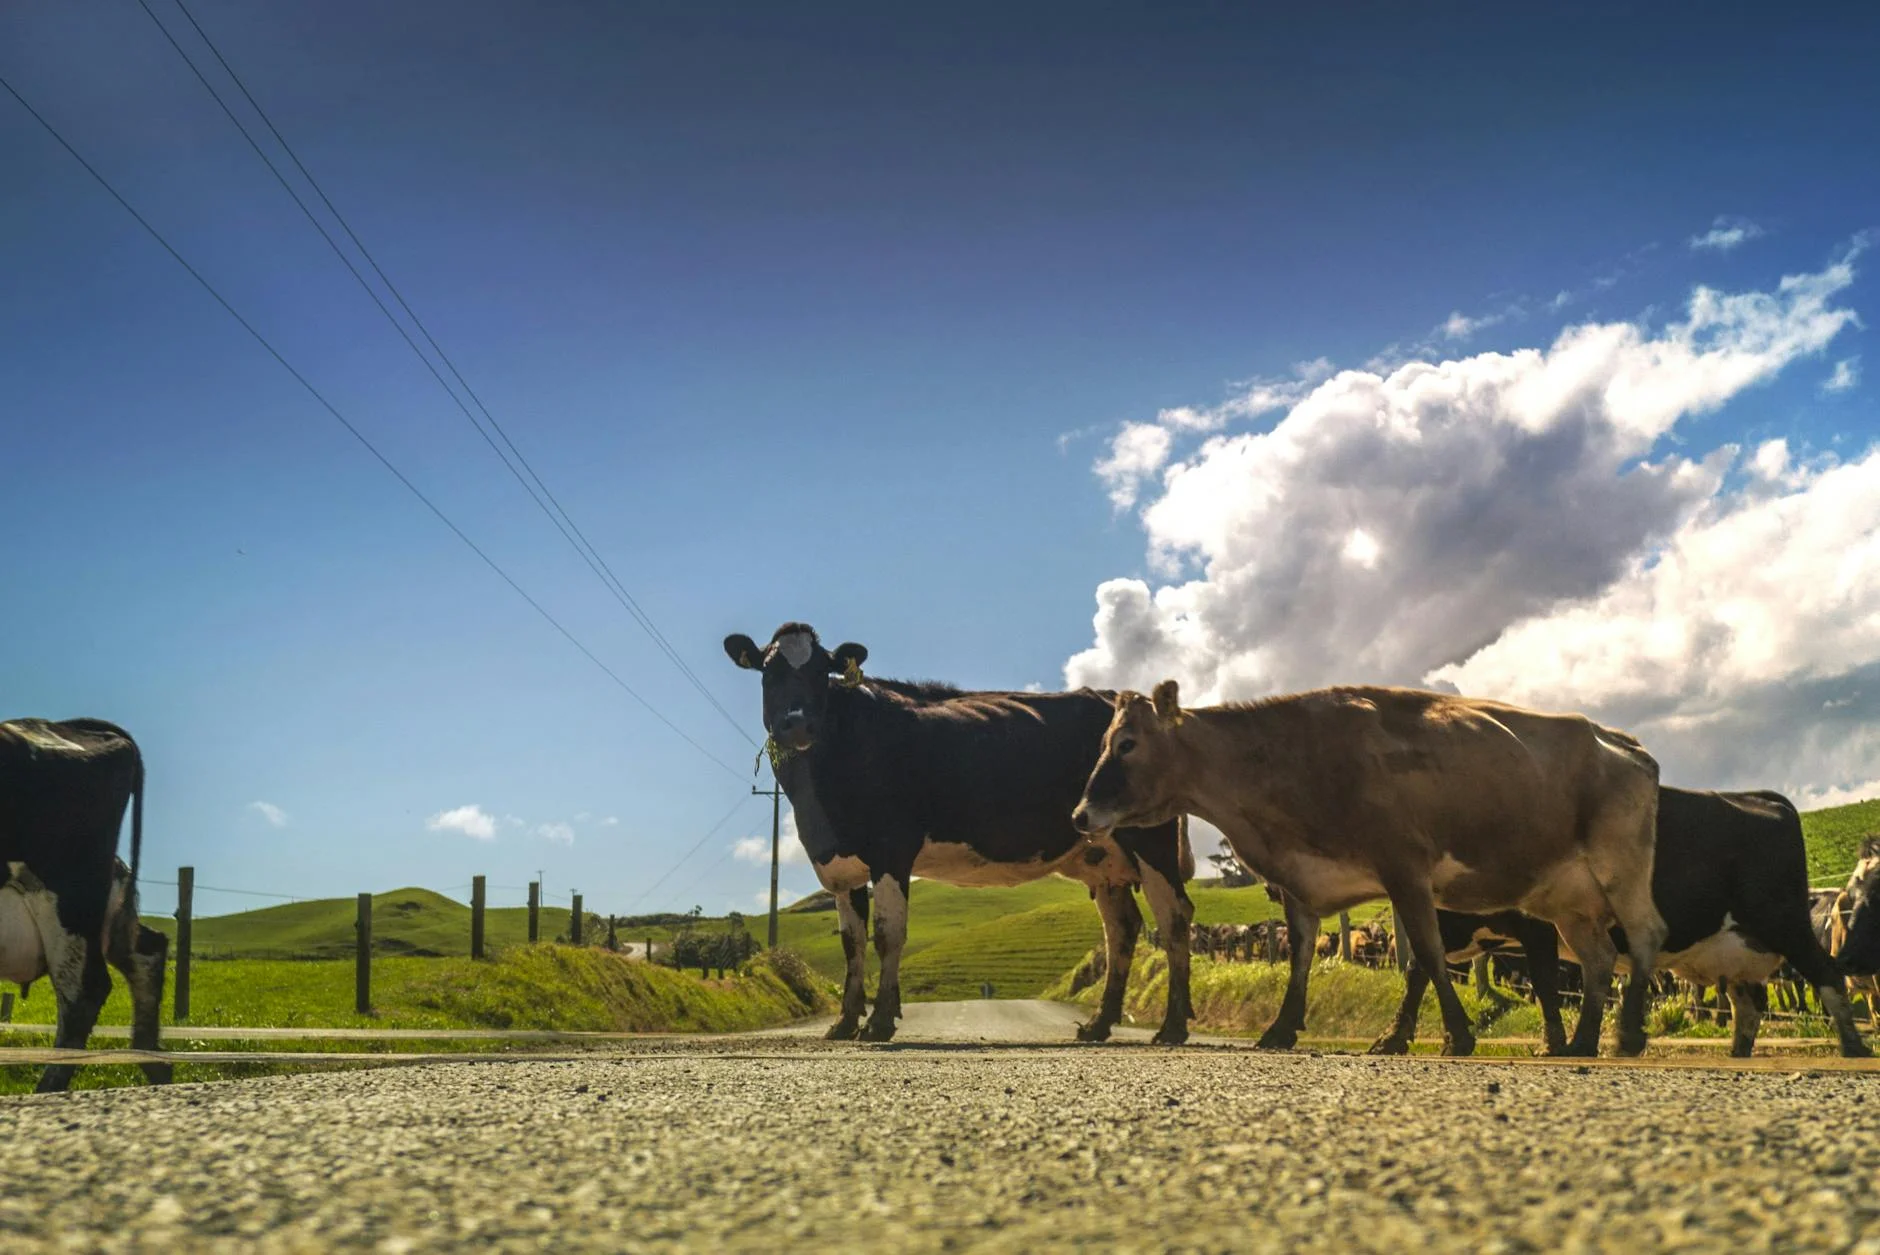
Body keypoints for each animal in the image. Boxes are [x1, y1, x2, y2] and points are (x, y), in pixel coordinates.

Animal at [0, 717, 170, 1092]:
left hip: (70, 894)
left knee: (84, 989)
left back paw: (48, 1087)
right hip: (105, 906)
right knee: (146, 950)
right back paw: (152, 1062)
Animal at [724, 623, 1194, 1043]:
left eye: (822, 671)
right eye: (768, 671)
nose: (797, 724)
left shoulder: (891, 848)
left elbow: (887, 933)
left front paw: (879, 1021)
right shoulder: (840, 864)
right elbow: (852, 944)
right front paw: (843, 1024)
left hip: (1150, 839)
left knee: (1173, 916)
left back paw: (1172, 1026)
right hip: (1103, 855)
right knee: (1121, 929)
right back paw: (1098, 1025)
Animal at [1073, 681, 1667, 1057]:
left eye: (1127, 744)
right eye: (1102, 742)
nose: (1079, 815)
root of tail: (1625, 743)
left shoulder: (1405, 870)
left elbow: (1426, 955)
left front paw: (1457, 1036)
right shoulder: (1301, 884)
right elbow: (1302, 958)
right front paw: (1281, 1029)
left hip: (1621, 865)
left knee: (1644, 936)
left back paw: (1626, 1036)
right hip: (1567, 899)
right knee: (1598, 958)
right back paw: (1585, 1040)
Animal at [1366, 789, 1871, 1059]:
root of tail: (1761, 798)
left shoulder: (1537, 928)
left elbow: (1546, 982)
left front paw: (1553, 1042)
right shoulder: (1444, 924)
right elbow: (1418, 973)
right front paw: (1396, 1038)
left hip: (1781, 920)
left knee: (1826, 974)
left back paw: (1854, 1047)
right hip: (1735, 948)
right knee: (1747, 1005)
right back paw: (1737, 1052)